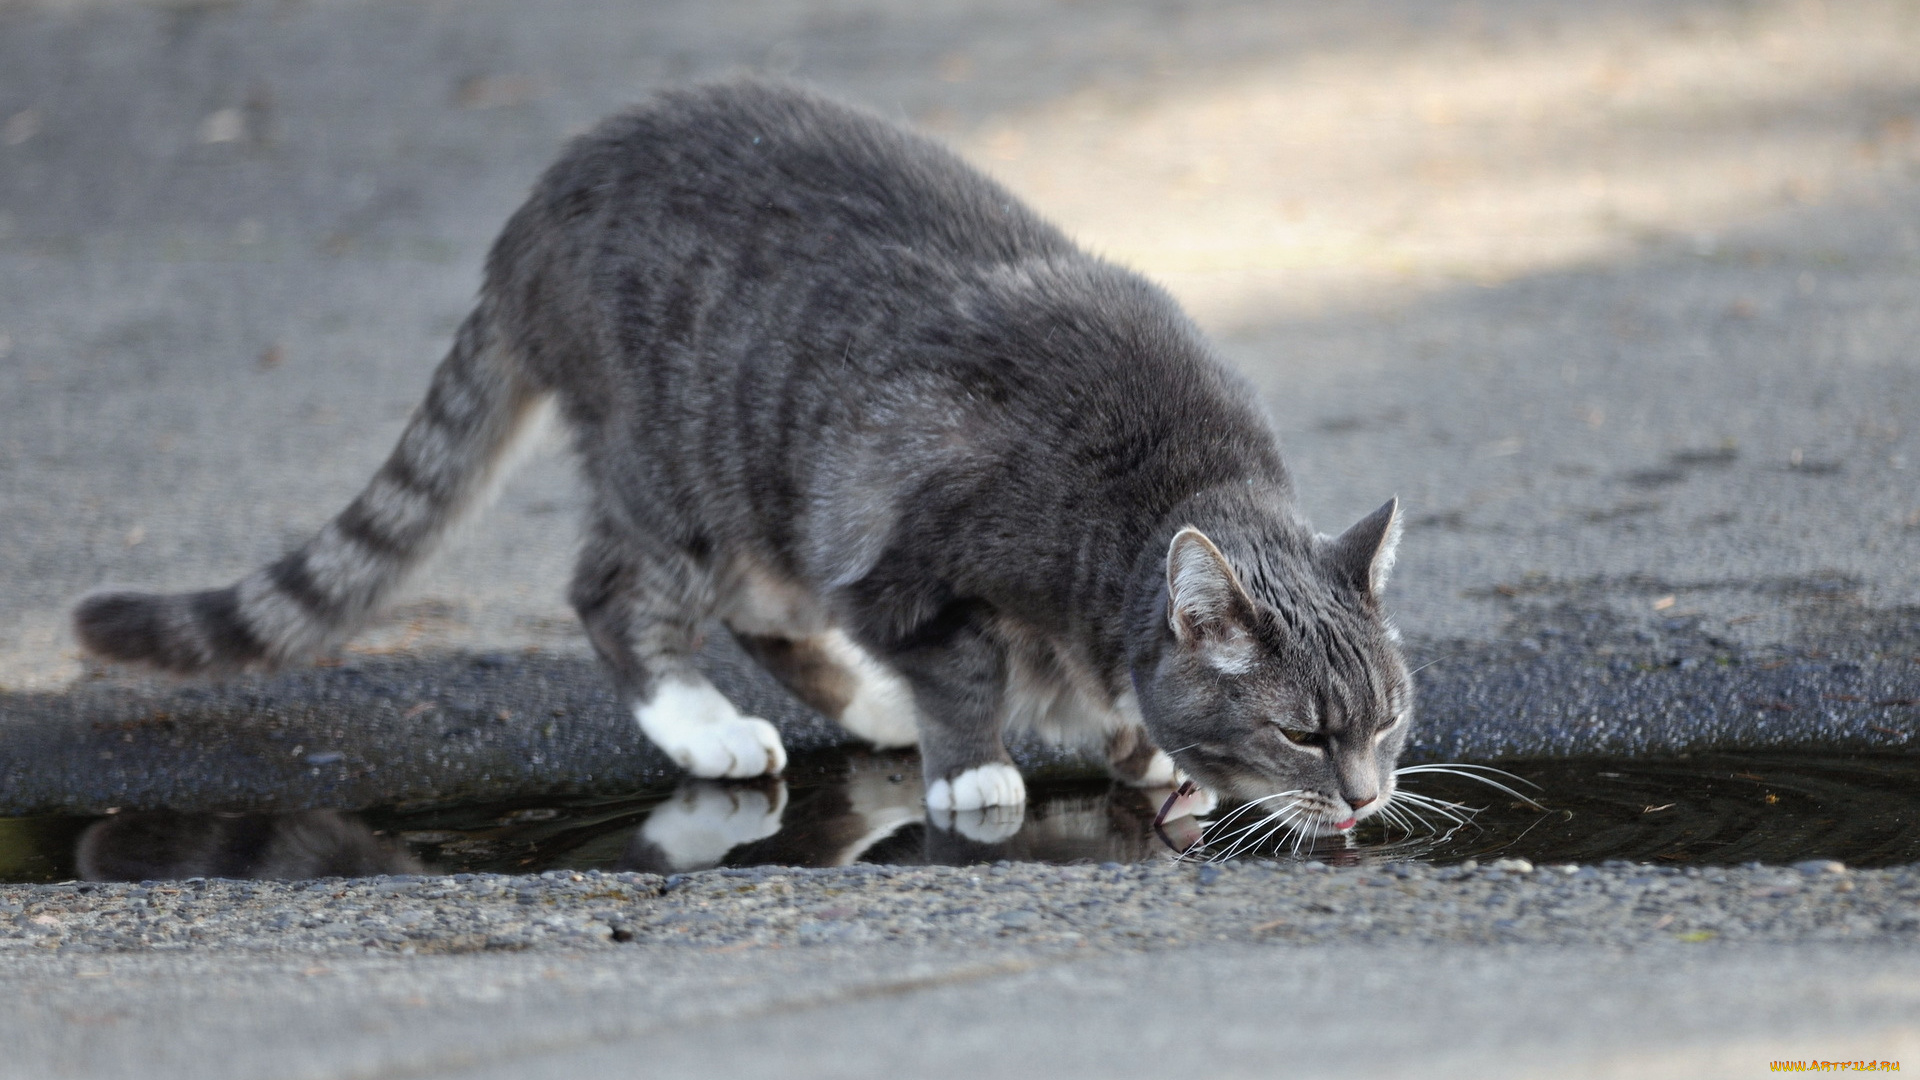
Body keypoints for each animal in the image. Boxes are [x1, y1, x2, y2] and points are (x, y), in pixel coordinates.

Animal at [71, 84, 1413, 837]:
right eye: (1305, 733)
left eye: (1391, 720)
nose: (1367, 797)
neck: (1161, 485)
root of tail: (532, 213)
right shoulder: (911, 560)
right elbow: (963, 664)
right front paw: (977, 769)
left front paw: (1144, 747)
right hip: (689, 476)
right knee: (613, 592)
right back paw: (710, 725)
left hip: (774, 502)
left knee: (770, 611)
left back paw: (865, 703)